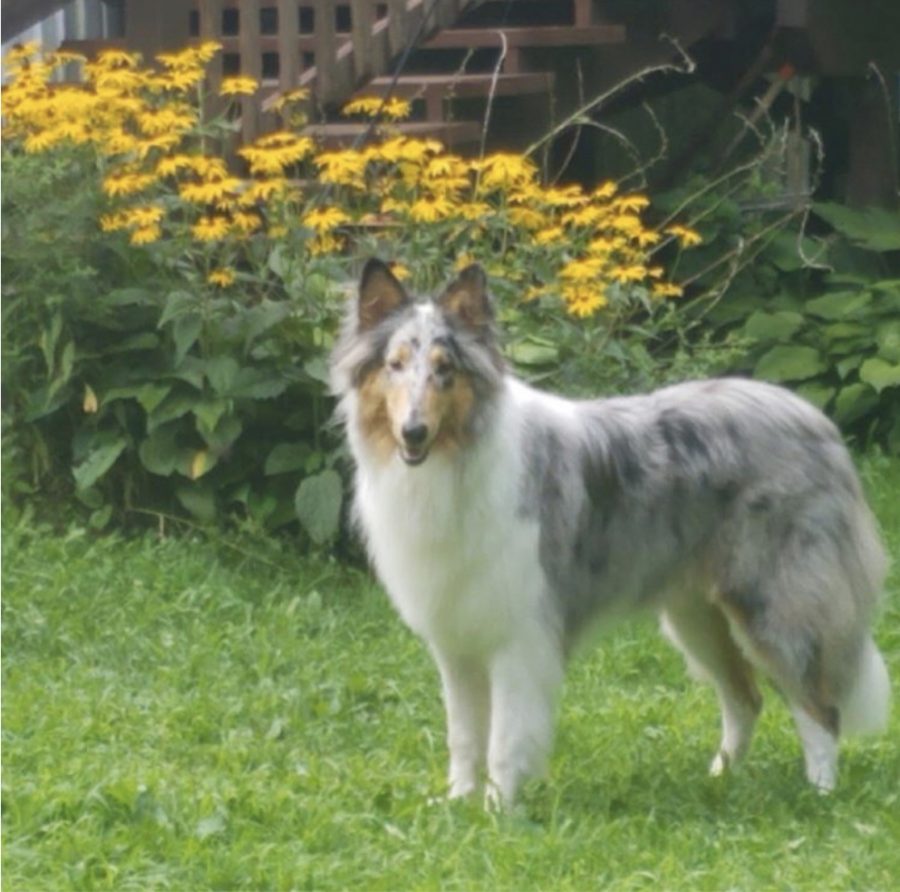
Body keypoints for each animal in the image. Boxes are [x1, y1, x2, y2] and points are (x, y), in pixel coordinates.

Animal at [328, 260, 884, 808]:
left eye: (445, 369)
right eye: (395, 364)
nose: (413, 432)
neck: (454, 460)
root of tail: (814, 419)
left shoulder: (518, 637)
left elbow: (505, 739)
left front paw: (499, 812)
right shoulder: (457, 641)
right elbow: (464, 735)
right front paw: (458, 805)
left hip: (775, 602)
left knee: (818, 707)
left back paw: (820, 794)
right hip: (697, 615)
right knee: (745, 698)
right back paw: (719, 780)